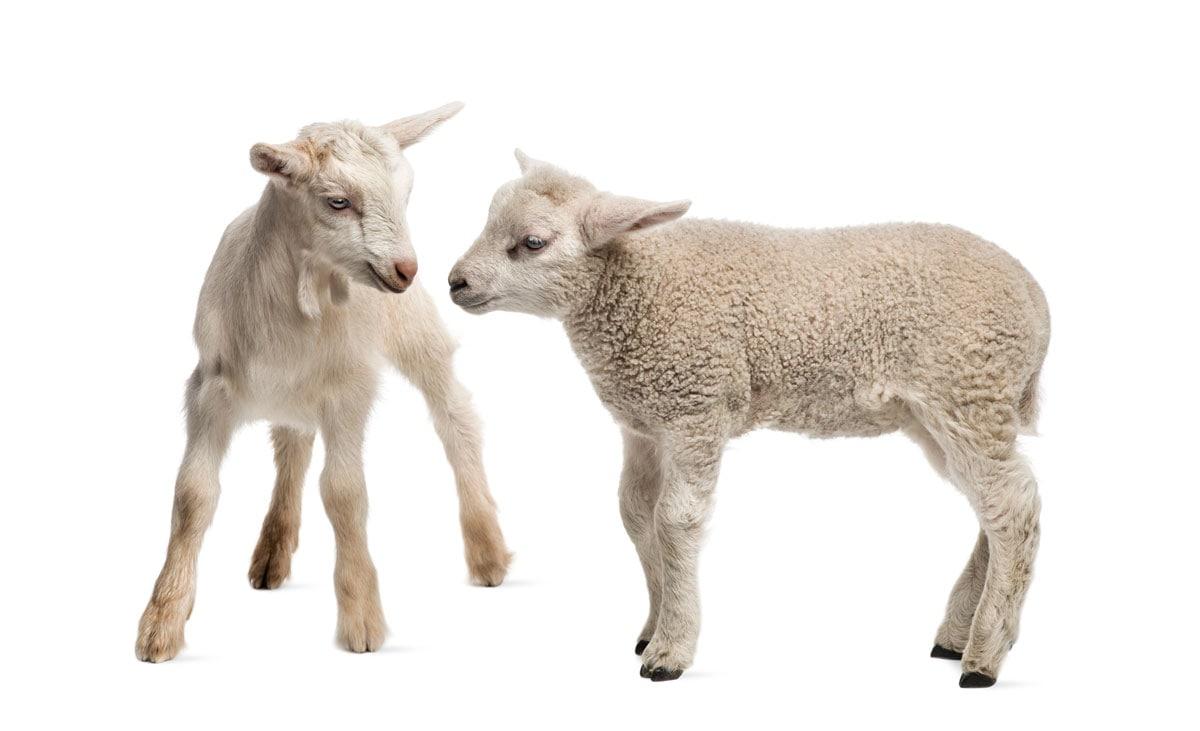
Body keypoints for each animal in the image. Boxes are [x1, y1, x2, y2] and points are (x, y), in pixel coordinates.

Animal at [135, 103, 511, 663]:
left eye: (406, 195)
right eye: (338, 201)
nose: (405, 269)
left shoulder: (349, 390)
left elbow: (344, 493)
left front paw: (362, 619)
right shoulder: (210, 388)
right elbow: (192, 495)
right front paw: (161, 622)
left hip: (415, 331)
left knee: (455, 416)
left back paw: (487, 551)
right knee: (292, 444)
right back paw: (272, 553)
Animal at [447, 151, 1049, 687]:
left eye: (533, 243)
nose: (456, 282)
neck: (635, 284)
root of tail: (1033, 294)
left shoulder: (696, 409)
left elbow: (675, 521)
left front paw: (669, 650)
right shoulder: (645, 423)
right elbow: (635, 513)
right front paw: (651, 627)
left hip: (968, 389)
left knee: (1012, 506)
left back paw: (984, 657)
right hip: (943, 411)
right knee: (996, 504)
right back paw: (962, 634)